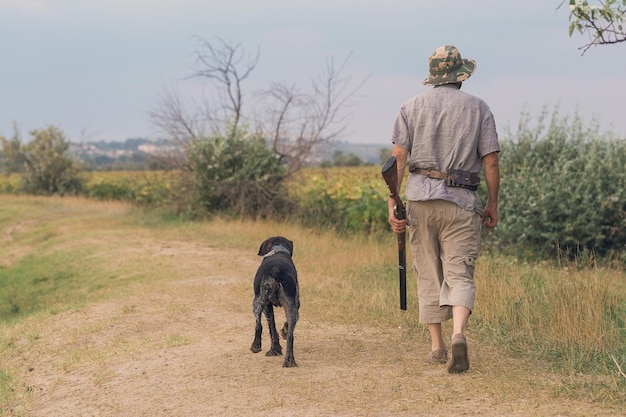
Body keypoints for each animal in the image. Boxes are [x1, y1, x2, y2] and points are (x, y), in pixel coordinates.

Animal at [247, 236, 298, 366]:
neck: (278, 249)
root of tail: (276, 270)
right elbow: (279, 328)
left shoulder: (267, 307)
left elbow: (272, 328)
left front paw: (275, 349)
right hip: (291, 307)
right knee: (290, 336)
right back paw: (289, 361)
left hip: (258, 303)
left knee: (258, 325)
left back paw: (256, 346)